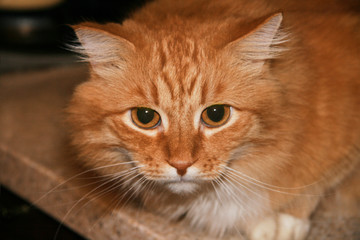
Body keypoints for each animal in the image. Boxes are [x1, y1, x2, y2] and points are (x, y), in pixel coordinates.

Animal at [67, 0, 360, 239]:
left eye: (216, 115)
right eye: (145, 117)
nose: (181, 165)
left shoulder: (346, 151)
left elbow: (314, 189)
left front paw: (283, 221)